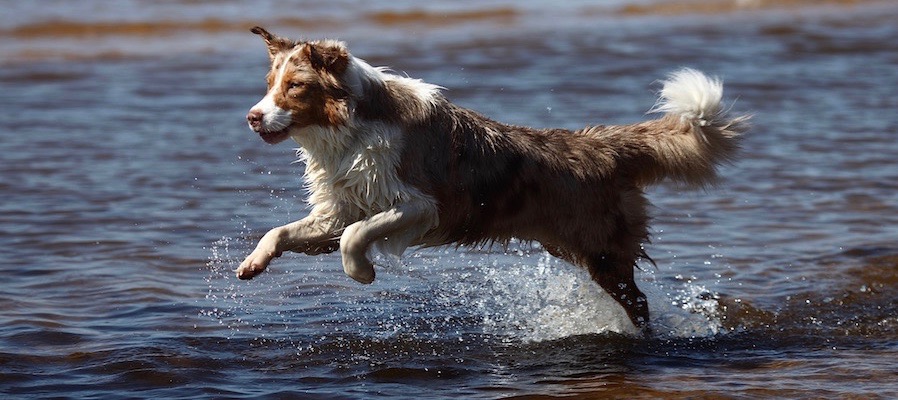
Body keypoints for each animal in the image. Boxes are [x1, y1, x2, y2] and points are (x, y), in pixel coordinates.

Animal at [234, 27, 744, 328]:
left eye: (295, 87)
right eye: (268, 84)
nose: (253, 117)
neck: (350, 127)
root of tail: (599, 144)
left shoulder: (420, 204)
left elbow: (354, 237)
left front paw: (362, 273)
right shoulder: (340, 206)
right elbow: (282, 231)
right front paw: (252, 263)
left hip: (602, 251)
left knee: (638, 302)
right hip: (578, 248)